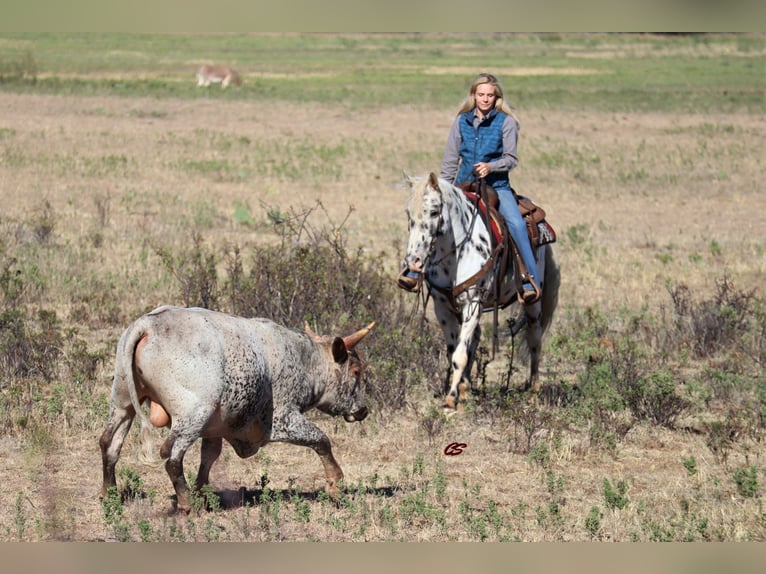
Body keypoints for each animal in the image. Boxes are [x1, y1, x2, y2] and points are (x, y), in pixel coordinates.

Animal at [402, 173, 560, 412]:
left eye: (434, 211)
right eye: (408, 213)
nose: (414, 262)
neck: (456, 252)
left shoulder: (472, 301)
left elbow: (459, 355)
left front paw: (450, 399)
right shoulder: (443, 307)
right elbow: (455, 350)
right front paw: (460, 391)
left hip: (534, 303)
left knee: (535, 340)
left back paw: (533, 392)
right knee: (475, 338)